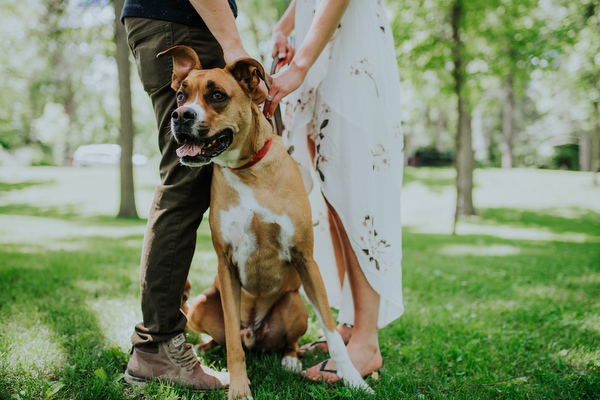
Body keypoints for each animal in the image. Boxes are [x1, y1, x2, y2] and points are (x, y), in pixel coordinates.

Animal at [159, 45, 370, 398]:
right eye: (179, 96)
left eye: (217, 95)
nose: (181, 115)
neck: (247, 170)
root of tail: (254, 334)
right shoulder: (226, 264)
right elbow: (232, 340)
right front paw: (238, 388)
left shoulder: (305, 258)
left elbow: (331, 330)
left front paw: (353, 379)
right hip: (202, 302)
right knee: (226, 337)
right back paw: (204, 349)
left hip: (296, 303)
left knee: (289, 341)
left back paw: (290, 359)